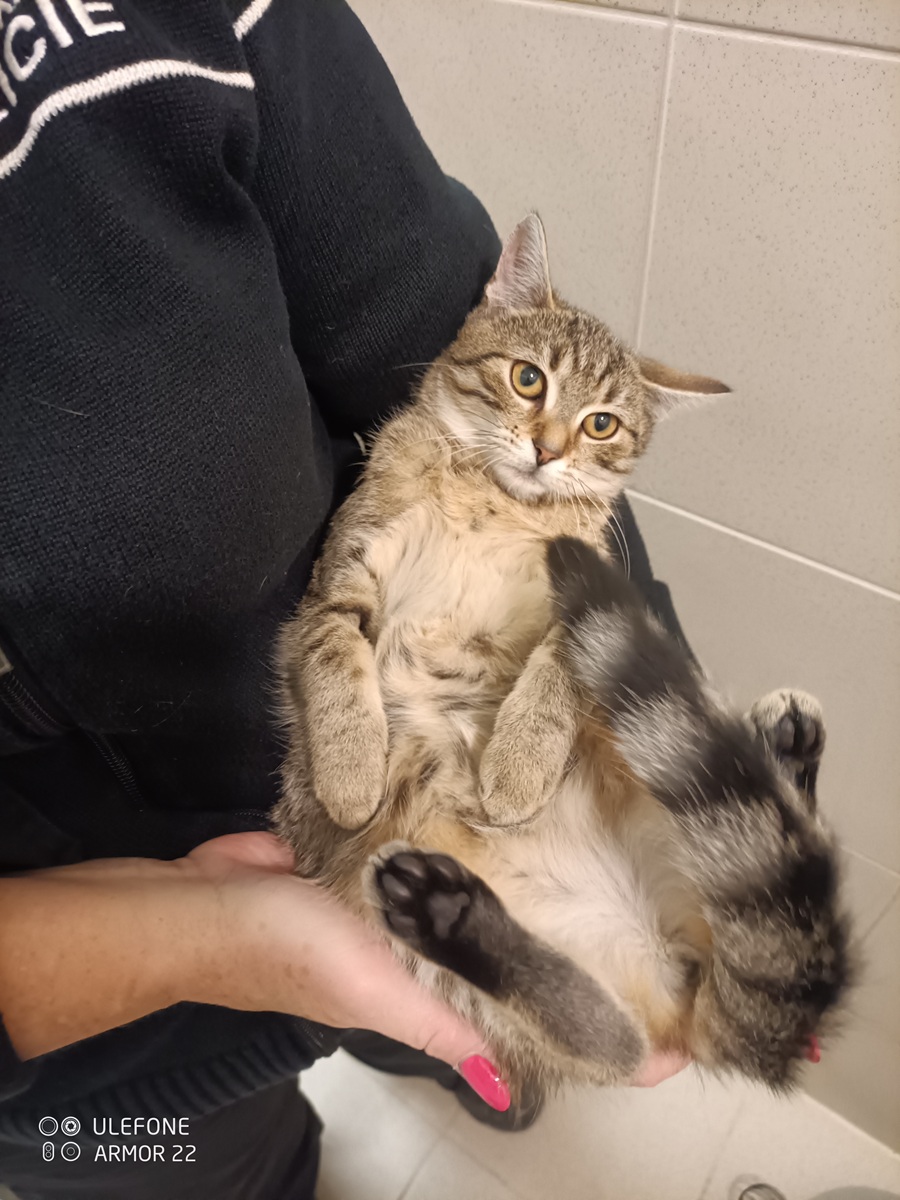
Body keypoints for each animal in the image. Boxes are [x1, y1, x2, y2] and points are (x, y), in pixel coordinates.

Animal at [273, 214, 852, 1100]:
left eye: (601, 424)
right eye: (527, 379)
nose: (546, 449)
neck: (491, 501)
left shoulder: (581, 598)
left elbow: (556, 672)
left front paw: (517, 766)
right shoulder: (340, 582)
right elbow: (337, 659)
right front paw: (348, 771)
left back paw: (782, 753)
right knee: (609, 1036)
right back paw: (452, 915)